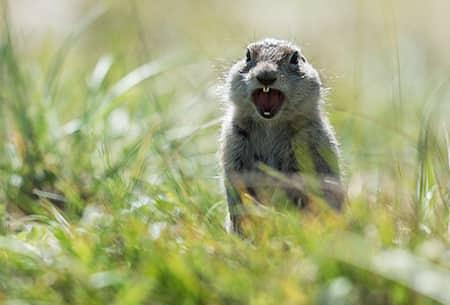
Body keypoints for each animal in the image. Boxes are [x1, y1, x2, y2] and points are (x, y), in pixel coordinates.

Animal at [220, 38, 342, 233]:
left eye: (295, 58)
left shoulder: (308, 146)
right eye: (247, 55)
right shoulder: (234, 142)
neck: (270, 124)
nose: (266, 75)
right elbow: (239, 182)